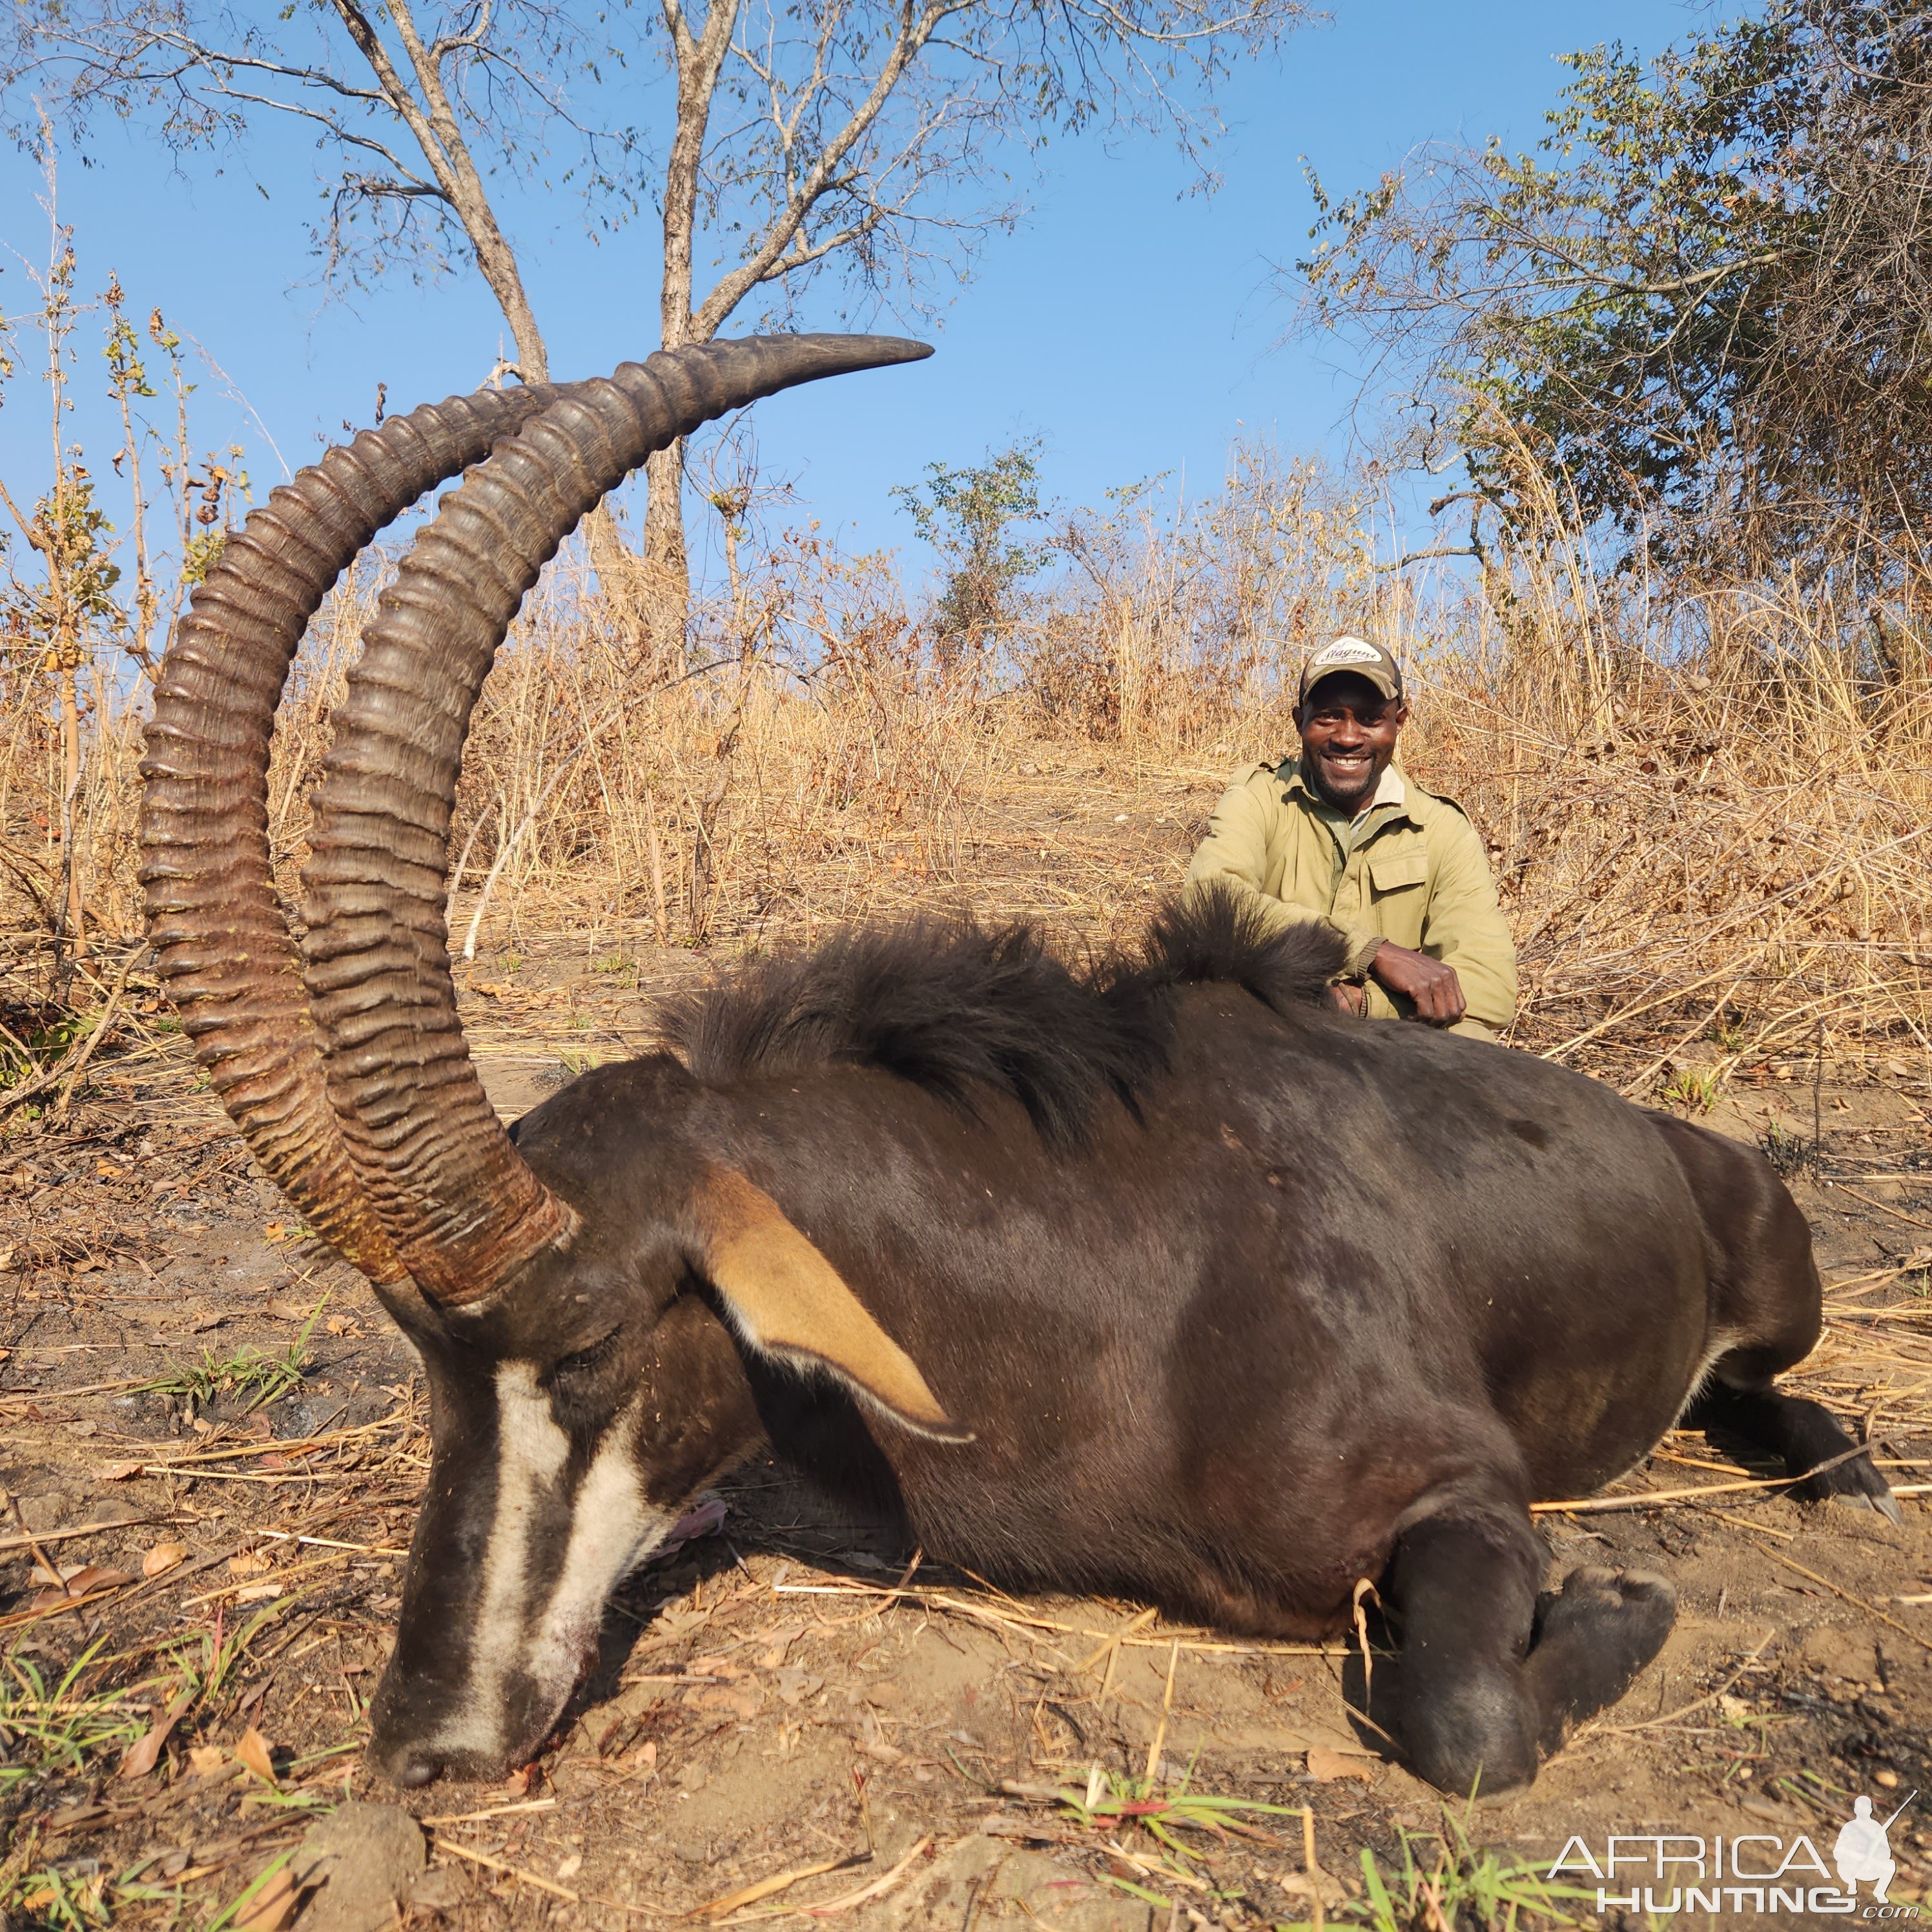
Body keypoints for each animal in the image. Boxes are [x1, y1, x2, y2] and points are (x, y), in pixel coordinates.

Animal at [143, 332, 1893, 1793]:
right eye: (425, 1364)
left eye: (582, 1348)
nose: (420, 1741)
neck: (1098, 1262)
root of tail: (1676, 1139)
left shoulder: (1461, 1491)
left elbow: (1461, 1720)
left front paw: (1623, 1594)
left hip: (1776, 1286)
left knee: (1766, 1382)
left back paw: (1848, 1472)